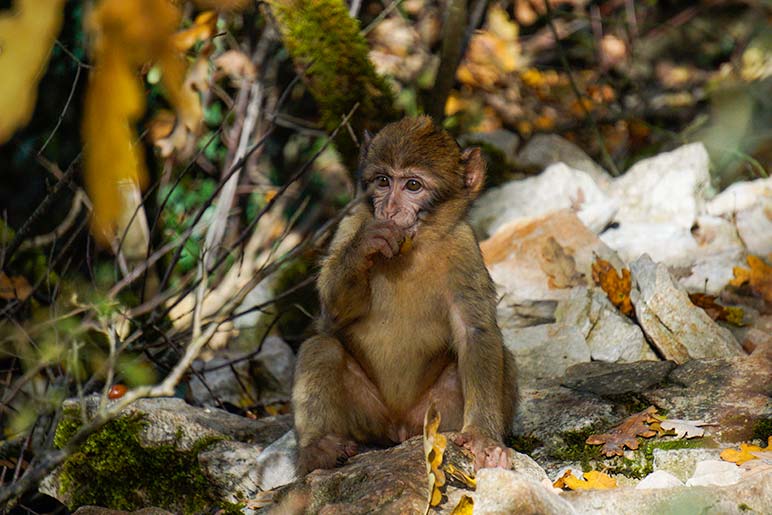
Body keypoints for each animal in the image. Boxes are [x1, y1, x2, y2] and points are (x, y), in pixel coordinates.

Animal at [292, 116, 516, 476]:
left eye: (413, 185)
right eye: (383, 181)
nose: (390, 208)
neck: (413, 249)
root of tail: (397, 428)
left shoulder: (464, 247)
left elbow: (476, 332)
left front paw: (483, 437)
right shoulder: (351, 222)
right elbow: (332, 316)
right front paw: (364, 247)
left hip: (430, 418)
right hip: (367, 417)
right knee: (321, 346)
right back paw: (319, 450)